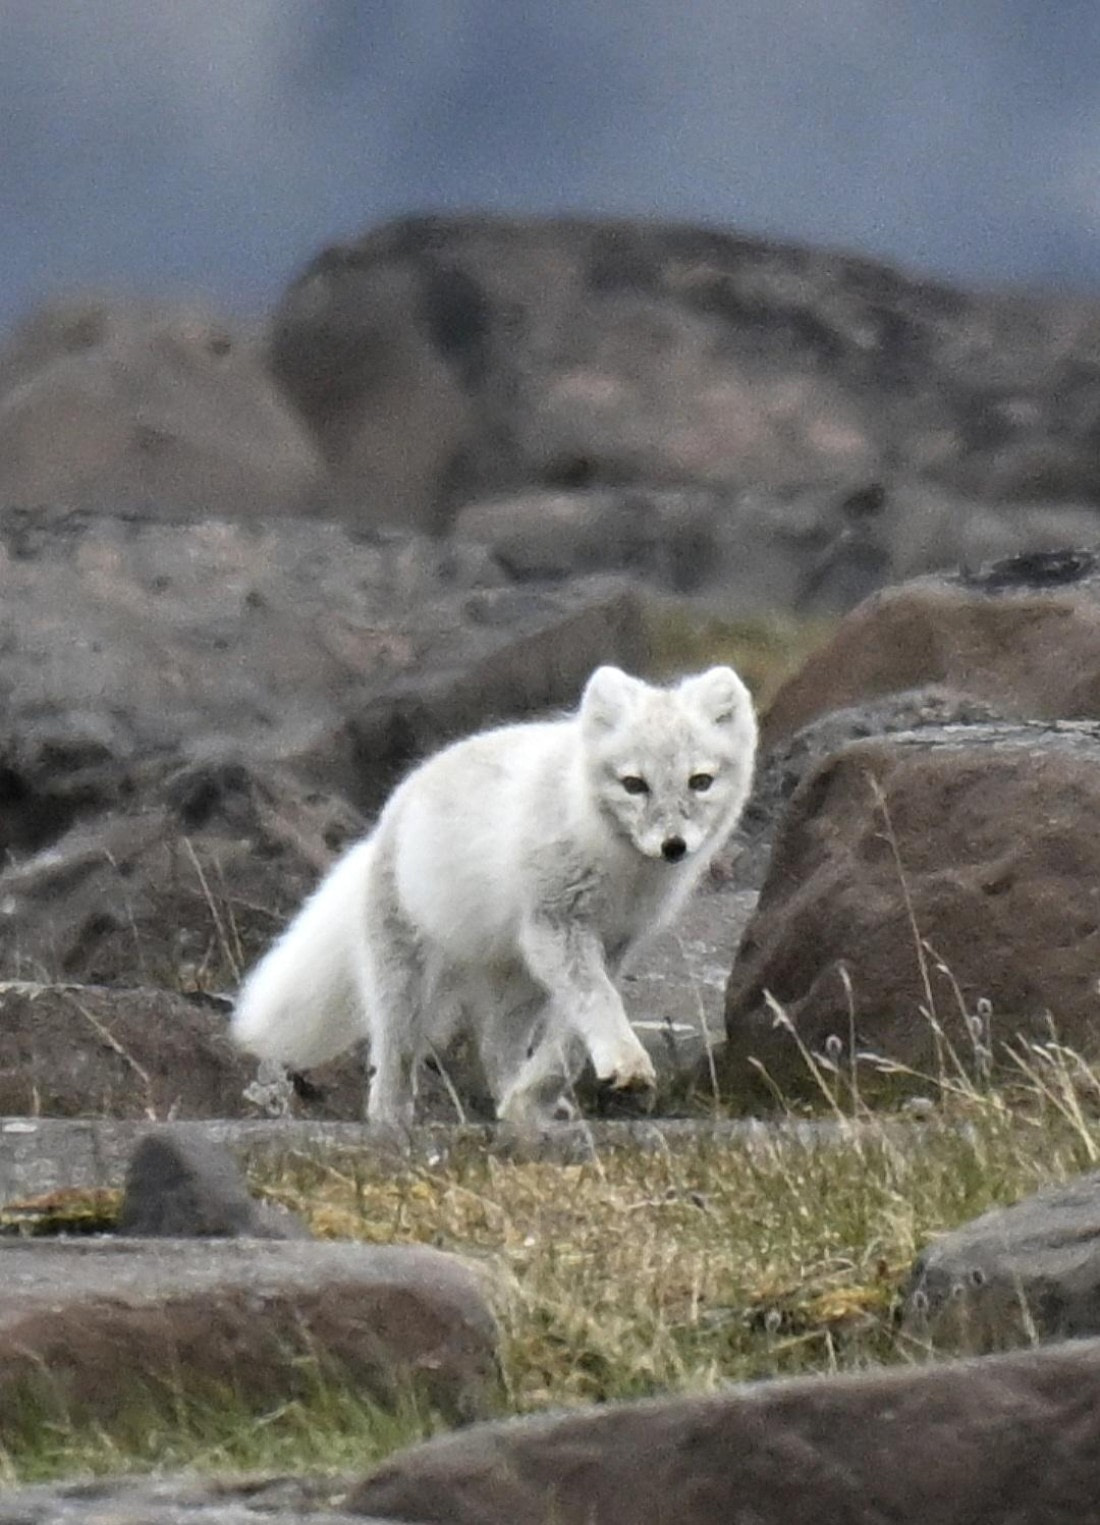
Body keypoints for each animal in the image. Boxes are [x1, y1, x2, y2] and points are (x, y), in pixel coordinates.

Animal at [232, 664, 757, 1128]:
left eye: (700, 781)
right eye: (634, 785)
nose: (674, 846)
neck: (622, 870)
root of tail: (384, 821)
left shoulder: (615, 943)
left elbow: (570, 1038)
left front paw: (534, 1097)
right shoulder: (557, 924)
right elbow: (598, 1002)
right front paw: (624, 1061)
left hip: (521, 979)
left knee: (494, 1047)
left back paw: (519, 1105)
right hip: (408, 980)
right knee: (393, 1055)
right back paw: (392, 1121)